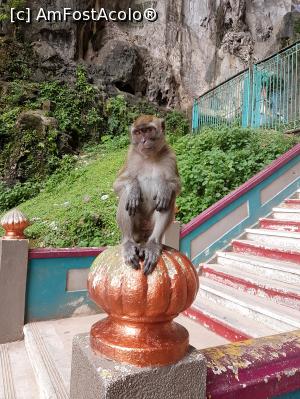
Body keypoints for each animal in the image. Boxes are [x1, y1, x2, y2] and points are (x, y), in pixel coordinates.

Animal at [113, 114, 180, 274]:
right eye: (138, 133)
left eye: (148, 130)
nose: (143, 140)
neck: (150, 157)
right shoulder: (130, 156)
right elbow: (118, 183)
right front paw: (134, 187)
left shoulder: (171, 156)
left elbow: (176, 186)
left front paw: (164, 188)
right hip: (136, 230)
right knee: (126, 197)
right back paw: (128, 243)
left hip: (149, 228)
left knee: (168, 200)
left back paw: (153, 244)